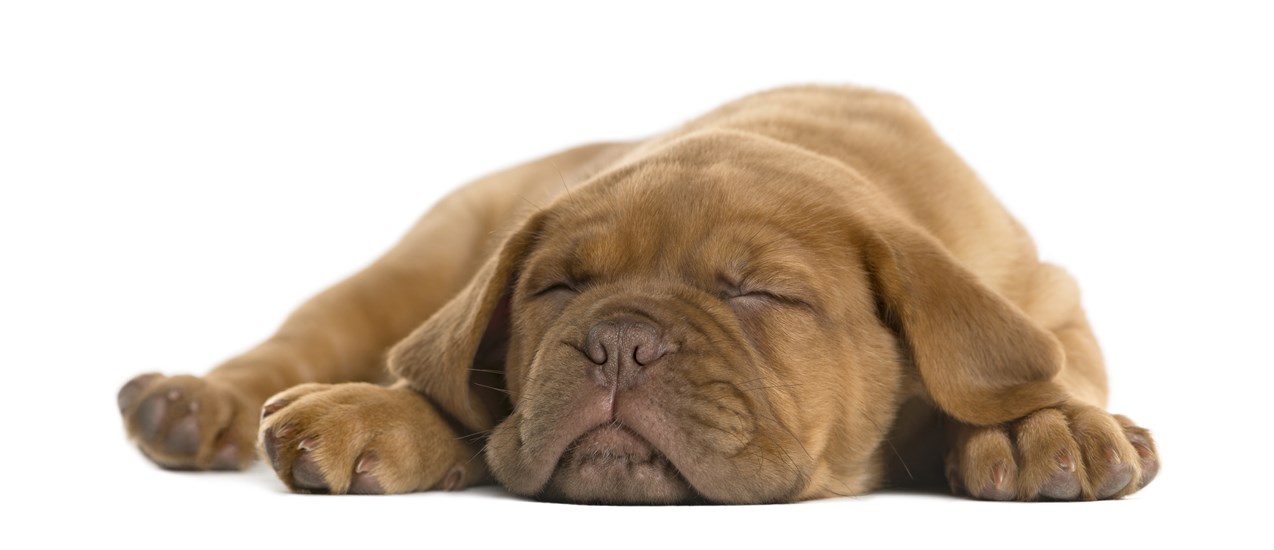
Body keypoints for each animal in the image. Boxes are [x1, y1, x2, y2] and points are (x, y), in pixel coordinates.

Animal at [114, 84, 1161, 501]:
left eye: (758, 294)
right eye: (557, 288)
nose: (618, 341)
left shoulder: (1051, 306)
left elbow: (1048, 376)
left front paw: (1041, 425)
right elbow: (462, 403)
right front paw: (376, 414)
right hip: (418, 258)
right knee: (308, 332)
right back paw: (191, 404)